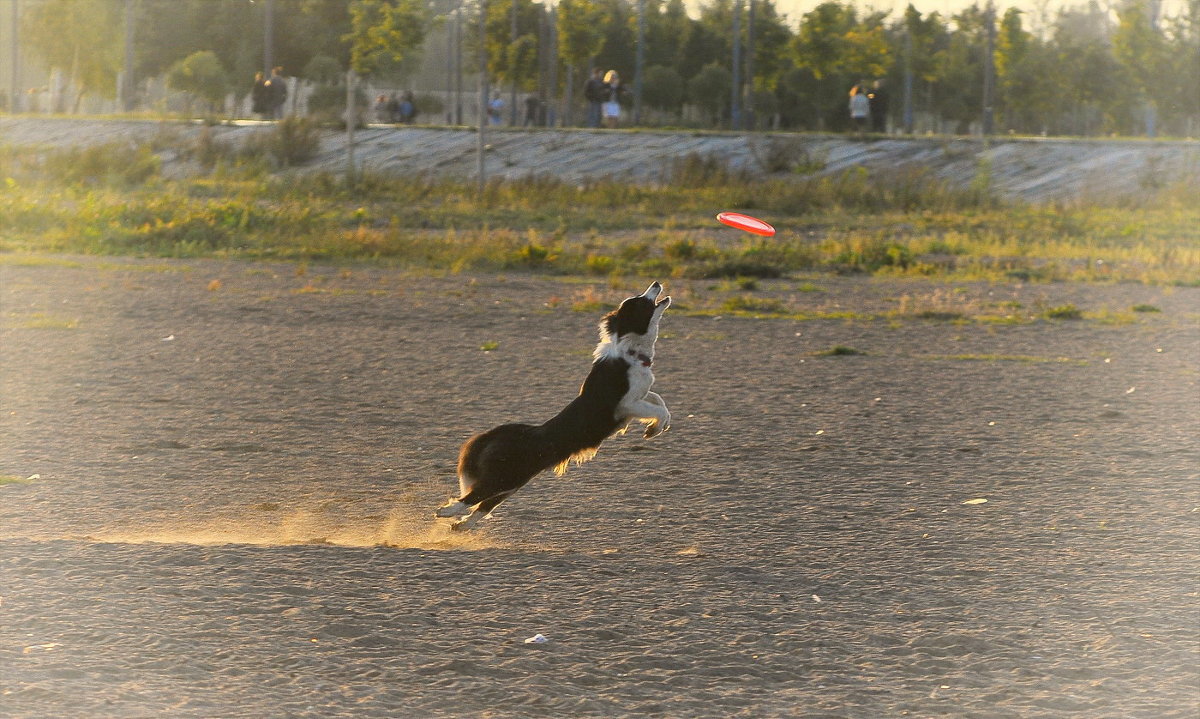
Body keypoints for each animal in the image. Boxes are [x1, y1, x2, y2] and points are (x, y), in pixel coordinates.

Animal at [434, 284, 676, 530]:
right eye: (640, 301)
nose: (656, 283)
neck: (631, 354)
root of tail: (496, 435)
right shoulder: (625, 404)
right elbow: (657, 408)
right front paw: (655, 428)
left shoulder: (640, 397)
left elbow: (658, 400)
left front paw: (657, 428)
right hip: (504, 478)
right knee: (472, 497)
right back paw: (445, 511)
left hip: (511, 484)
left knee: (482, 506)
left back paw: (460, 525)